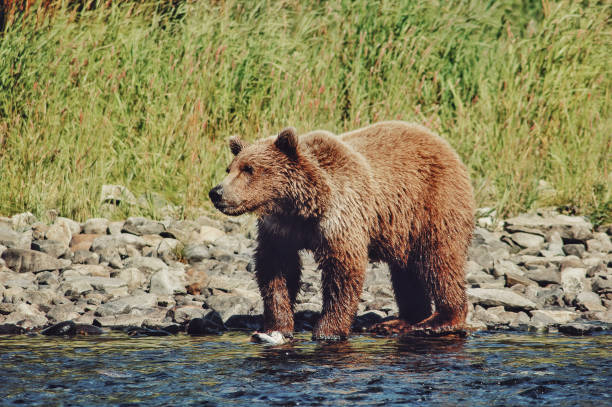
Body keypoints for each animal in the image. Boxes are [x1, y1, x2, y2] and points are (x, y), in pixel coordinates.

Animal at [209, 121, 474, 342]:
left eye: (249, 169)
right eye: (230, 168)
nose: (216, 192)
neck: (300, 207)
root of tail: (444, 145)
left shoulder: (341, 216)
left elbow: (342, 270)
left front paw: (327, 331)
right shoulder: (280, 229)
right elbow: (276, 269)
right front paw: (276, 327)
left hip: (432, 202)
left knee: (439, 259)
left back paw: (438, 321)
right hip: (402, 229)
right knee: (406, 271)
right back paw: (399, 322)